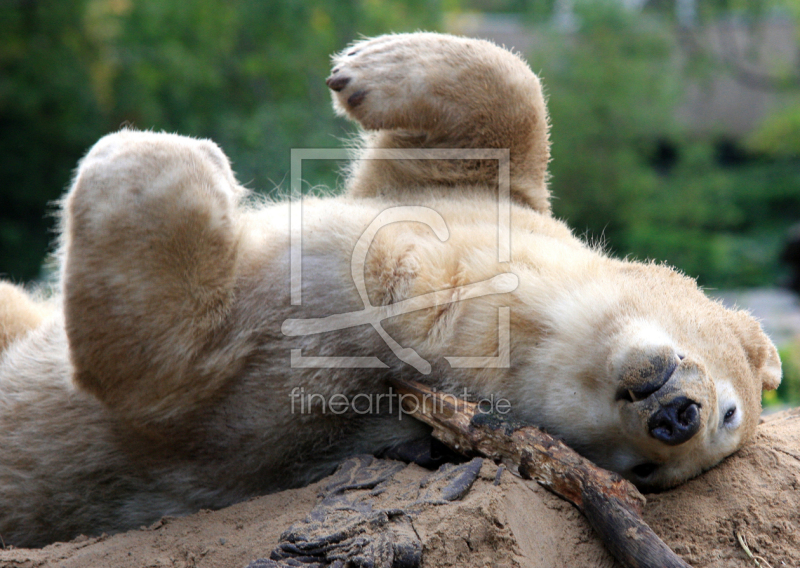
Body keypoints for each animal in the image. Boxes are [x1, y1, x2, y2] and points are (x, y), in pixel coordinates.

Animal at [0, 32, 780, 544]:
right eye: (732, 410)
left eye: (645, 474)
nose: (678, 418)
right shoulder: (460, 212)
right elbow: (500, 125)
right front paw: (369, 65)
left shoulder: (306, 385)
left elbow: (152, 363)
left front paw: (173, 157)